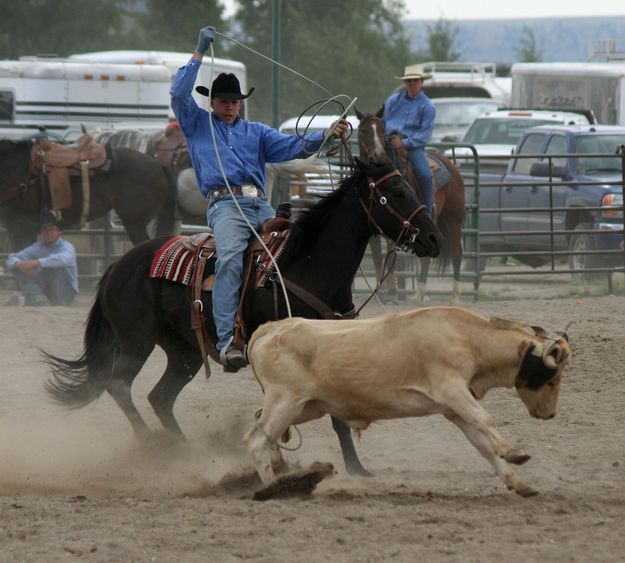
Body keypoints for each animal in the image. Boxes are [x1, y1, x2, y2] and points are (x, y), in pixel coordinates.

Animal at [44, 158, 442, 476]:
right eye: (396, 191)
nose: (435, 238)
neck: (307, 264)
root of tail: (118, 264)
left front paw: (357, 468)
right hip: (135, 341)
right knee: (119, 385)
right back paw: (154, 446)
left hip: (184, 352)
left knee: (160, 397)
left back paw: (184, 451)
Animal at [245, 308, 572, 498]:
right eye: (552, 378)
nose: (550, 413)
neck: (467, 338)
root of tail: (271, 328)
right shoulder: (452, 391)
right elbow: (486, 421)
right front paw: (515, 452)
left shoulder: (455, 410)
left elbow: (483, 445)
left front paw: (517, 482)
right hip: (285, 401)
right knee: (257, 442)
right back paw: (273, 487)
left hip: (306, 407)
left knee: (262, 432)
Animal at [354, 109, 466, 304]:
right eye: (363, 131)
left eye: (382, 131)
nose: (378, 157)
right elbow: (376, 256)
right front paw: (380, 291)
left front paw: (391, 292)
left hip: (454, 220)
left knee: (455, 254)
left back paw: (447, 295)